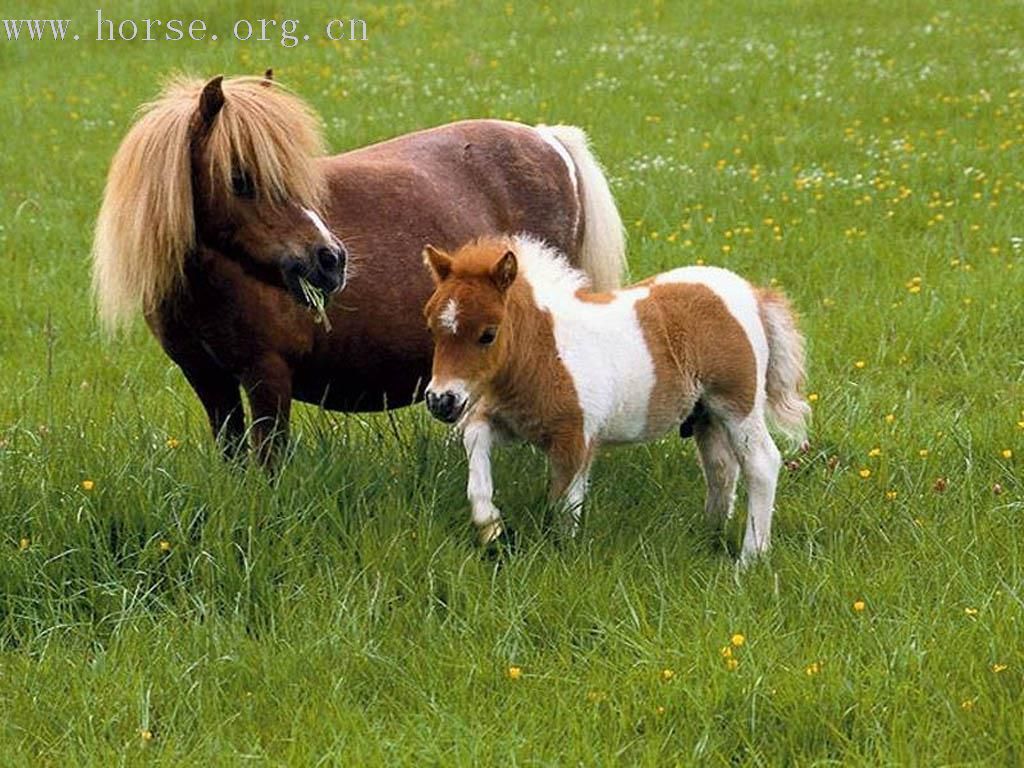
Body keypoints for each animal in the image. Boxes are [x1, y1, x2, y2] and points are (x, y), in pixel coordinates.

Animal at [94, 73, 622, 462]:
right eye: (241, 179)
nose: (330, 260)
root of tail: (548, 140)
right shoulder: (208, 378)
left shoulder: (267, 375)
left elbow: (269, 461)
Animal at [421, 237, 806, 561]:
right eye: (432, 329)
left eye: (488, 334)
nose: (441, 401)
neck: (548, 351)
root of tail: (753, 294)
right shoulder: (512, 423)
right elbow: (475, 442)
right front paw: (491, 526)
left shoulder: (575, 439)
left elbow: (563, 504)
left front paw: (561, 558)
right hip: (706, 415)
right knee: (721, 469)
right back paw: (708, 536)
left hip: (738, 405)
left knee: (761, 463)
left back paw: (749, 559)